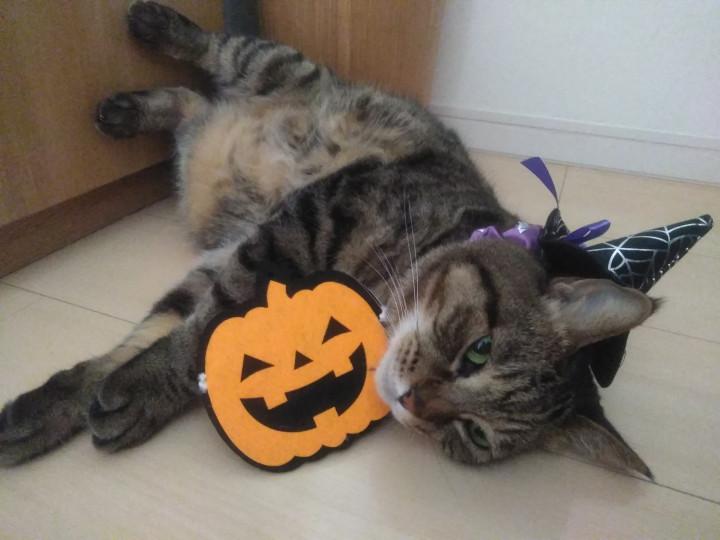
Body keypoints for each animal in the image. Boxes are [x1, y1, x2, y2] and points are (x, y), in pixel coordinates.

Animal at [0, 1, 656, 478]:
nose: (414, 400)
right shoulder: (305, 220)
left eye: (472, 432)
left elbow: (159, 335)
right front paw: (116, 390)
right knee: (224, 53)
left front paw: (75, 404)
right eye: (479, 350)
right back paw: (152, 31)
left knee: (192, 106)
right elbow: (195, 332)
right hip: (284, 69)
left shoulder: (237, 255)